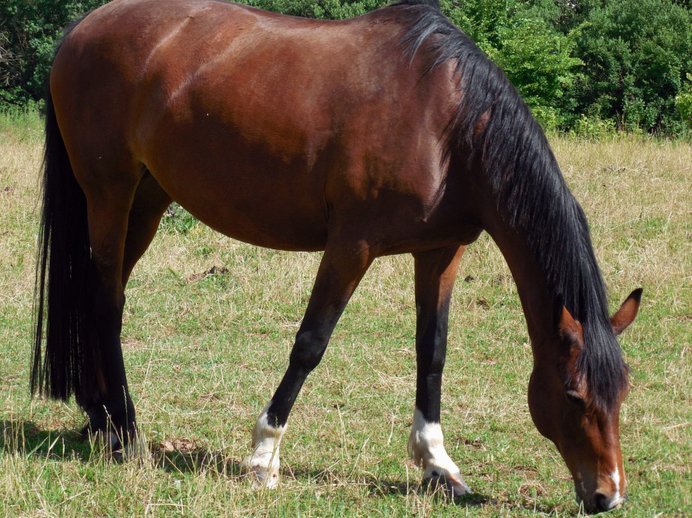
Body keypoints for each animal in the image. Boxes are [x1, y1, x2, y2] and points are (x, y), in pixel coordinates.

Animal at [31, 0, 641, 512]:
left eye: (623, 393)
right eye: (574, 395)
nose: (608, 496)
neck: (447, 125)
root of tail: (82, 28)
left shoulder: (440, 252)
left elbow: (433, 351)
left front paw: (438, 465)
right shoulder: (352, 246)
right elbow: (310, 344)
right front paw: (263, 456)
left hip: (148, 199)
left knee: (101, 296)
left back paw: (99, 416)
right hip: (109, 194)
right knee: (106, 304)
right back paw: (126, 431)